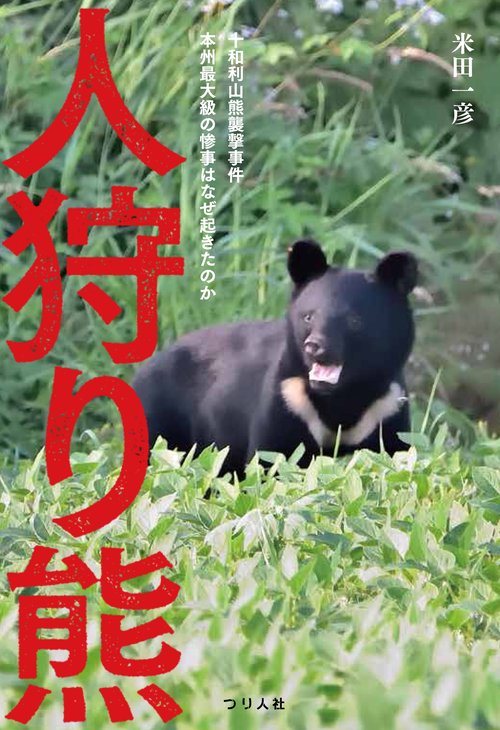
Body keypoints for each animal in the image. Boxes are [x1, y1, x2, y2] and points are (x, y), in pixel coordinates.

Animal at [132, 240, 417, 478]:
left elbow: (397, 454)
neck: (340, 397)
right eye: (309, 316)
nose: (315, 346)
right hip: (160, 418)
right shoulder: (288, 399)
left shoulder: (387, 408)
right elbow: (271, 461)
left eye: (355, 321)